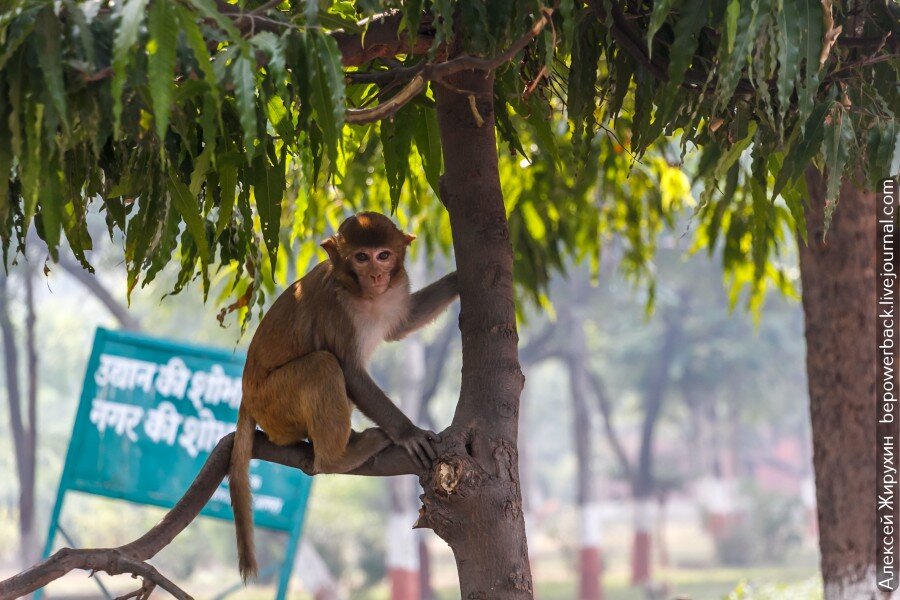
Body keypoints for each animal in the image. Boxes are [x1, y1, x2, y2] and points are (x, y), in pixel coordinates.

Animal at [229, 211, 460, 580]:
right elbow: (349, 370)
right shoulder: (334, 308)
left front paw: (457, 280)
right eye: (361, 257)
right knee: (323, 365)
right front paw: (408, 432)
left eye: (383, 255)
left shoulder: (395, 293)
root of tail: (247, 397)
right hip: (274, 401)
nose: (376, 275)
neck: (363, 294)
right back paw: (337, 457)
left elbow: (402, 324)